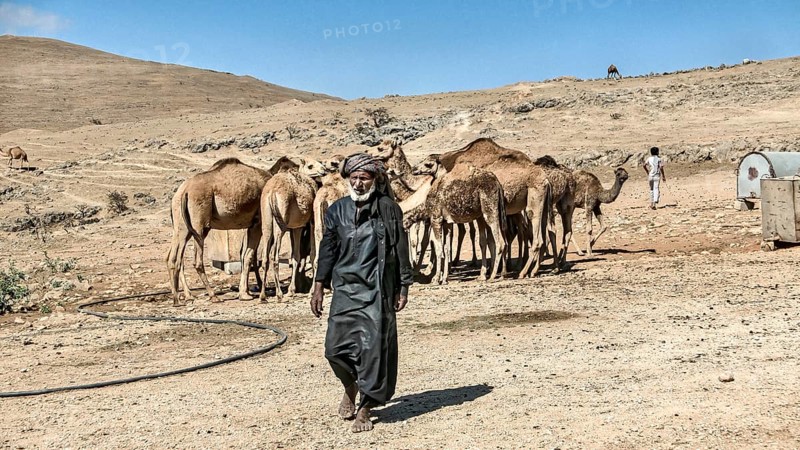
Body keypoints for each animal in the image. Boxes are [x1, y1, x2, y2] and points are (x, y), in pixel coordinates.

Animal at [166, 156, 301, 306]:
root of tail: (184, 191)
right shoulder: (258, 223)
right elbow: (249, 256)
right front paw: (245, 294)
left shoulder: (250, 226)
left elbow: (244, 254)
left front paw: (246, 292)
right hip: (200, 224)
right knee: (197, 261)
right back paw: (212, 296)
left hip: (182, 226)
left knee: (174, 258)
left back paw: (179, 298)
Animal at [259, 160, 323, 301]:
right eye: (310, 166)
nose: (323, 169)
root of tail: (272, 192)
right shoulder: (310, 222)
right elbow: (312, 254)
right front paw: (310, 292)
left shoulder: (296, 227)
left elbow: (295, 256)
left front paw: (292, 290)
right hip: (280, 223)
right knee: (274, 255)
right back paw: (279, 294)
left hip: (266, 220)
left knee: (265, 256)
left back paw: (262, 295)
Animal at [411, 155, 507, 284]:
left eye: (428, 164)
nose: (414, 169)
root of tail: (497, 183)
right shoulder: (446, 223)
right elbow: (446, 248)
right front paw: (444, 278)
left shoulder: (436, 218)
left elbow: (438, 247)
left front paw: (436, 279)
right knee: (491, 241)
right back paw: (487, 275)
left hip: (489, 209)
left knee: (499, 242)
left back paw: (491, 277)